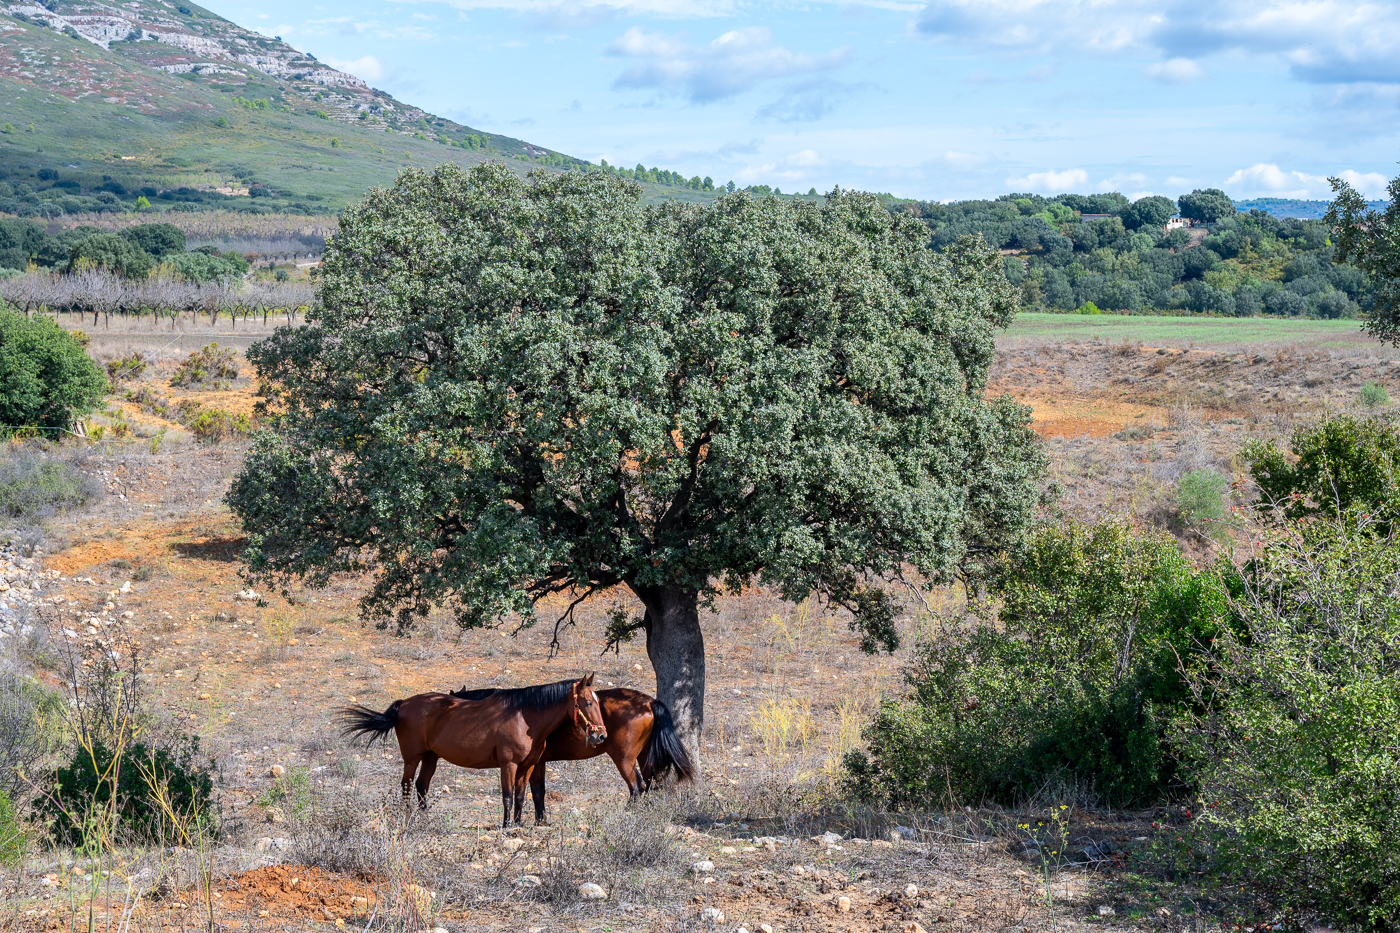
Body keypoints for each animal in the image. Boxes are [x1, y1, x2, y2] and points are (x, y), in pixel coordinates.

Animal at [339, 674, 607, 827]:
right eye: (588, 702)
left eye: (596, 702)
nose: (601, 735)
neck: (525, 717)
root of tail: (403, 703)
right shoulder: (508, 765)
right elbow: (507, 796)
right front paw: (507, 826)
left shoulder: (528, 766)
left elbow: (522, 796)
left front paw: (519, 825)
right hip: (412, 757)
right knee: (406, 785)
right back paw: (408, 817)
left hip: (430, 758)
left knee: (421, 786)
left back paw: (425, 818)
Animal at [451, 685, 693, 823]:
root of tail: (649, 701)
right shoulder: (539, 763)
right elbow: (539, 792)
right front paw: (541, 820)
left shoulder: (534, 763)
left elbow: (535, 792)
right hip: (644, 757)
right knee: (651, 784)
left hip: (624, 758)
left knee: (637, 787)